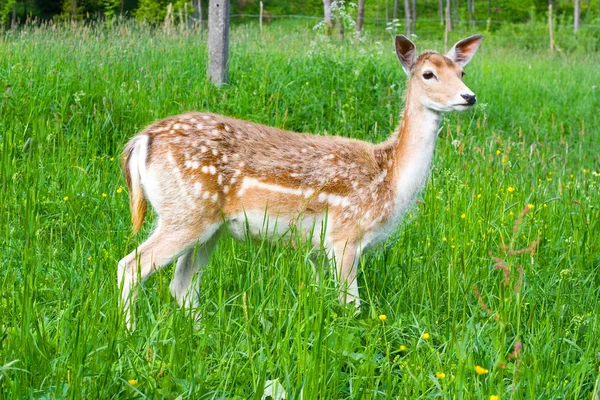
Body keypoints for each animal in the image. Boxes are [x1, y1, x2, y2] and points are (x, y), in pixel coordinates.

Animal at [116, 34, 482, 330]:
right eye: (428, 74)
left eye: (461, 72)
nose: (469, 97)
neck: (389, 178)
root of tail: (142, 140)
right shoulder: (345, 235)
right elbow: (351, 306)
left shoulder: (318, 249)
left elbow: (324, 296)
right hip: (186, 211)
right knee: (131, 266)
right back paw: (130, 332)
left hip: (206, 225)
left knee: (181, 285)